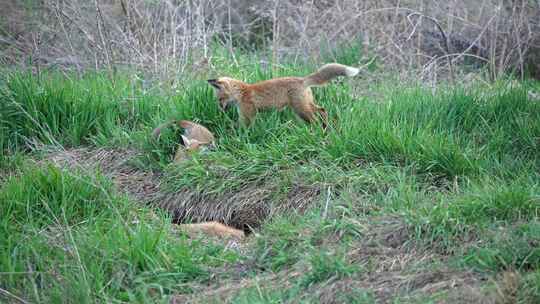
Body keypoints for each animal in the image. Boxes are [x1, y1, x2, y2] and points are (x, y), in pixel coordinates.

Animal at [209, 63, 360, 128]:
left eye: (220, 99)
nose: (220, 110)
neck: (242, 92)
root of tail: (302, 79)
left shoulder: (248, 114)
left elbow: (242, 127)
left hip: (300, 110)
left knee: (315, 119)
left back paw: (317, 131)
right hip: (306, 105)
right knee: (322, 110)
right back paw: (325, 128)